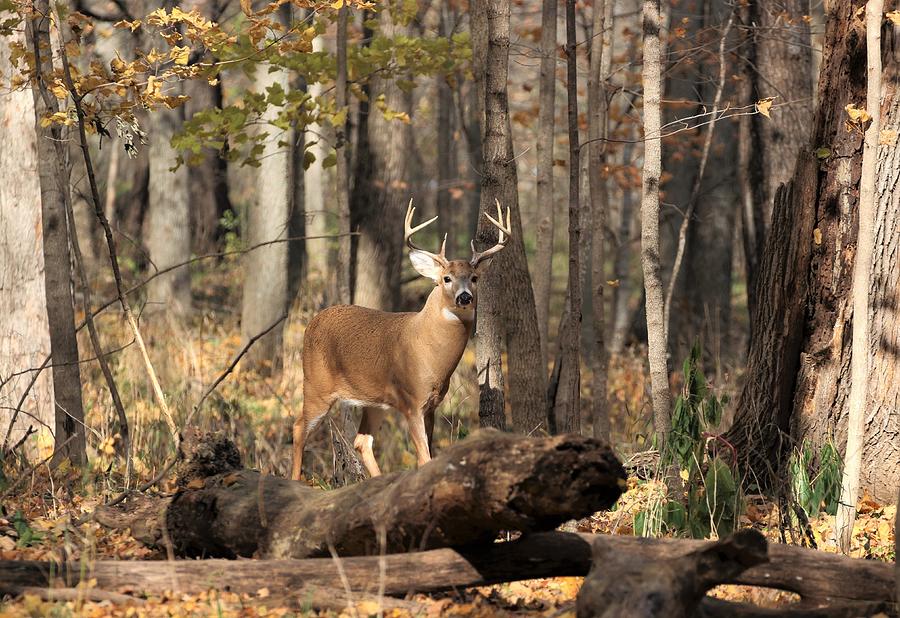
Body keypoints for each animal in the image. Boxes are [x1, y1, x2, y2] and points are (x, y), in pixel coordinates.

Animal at [292, 200, 510, 478]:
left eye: (474, 278)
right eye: (446, 278)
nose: (465, 297)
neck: (430, 352)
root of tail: (311, 323)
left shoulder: (431, 405)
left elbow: (428, 455)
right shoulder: (411, 400)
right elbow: (425, 459)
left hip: (375, 401)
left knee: (361, 441)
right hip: (316, 384)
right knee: (299, 427)